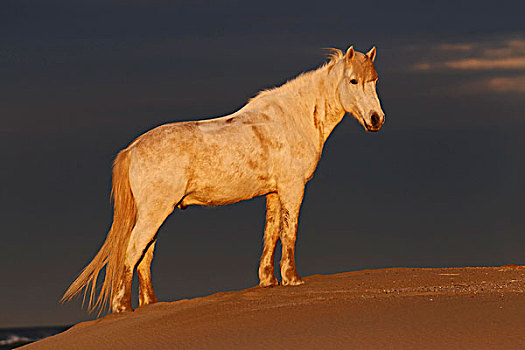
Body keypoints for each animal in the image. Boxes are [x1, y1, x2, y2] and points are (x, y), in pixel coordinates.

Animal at [62, 45, 384, 312]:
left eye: (375, 80)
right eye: (353, 81)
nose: (376, 119)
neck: (292, 118)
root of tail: (132, 148)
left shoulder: (273, 192)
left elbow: (271, 233)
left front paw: (268, 280)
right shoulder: (292, 187)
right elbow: (289, 231)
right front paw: (292, 278)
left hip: (155, 212)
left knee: (145, 255)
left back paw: (151, 303)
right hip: (155, 211)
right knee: (132, 251)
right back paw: (122, 307)